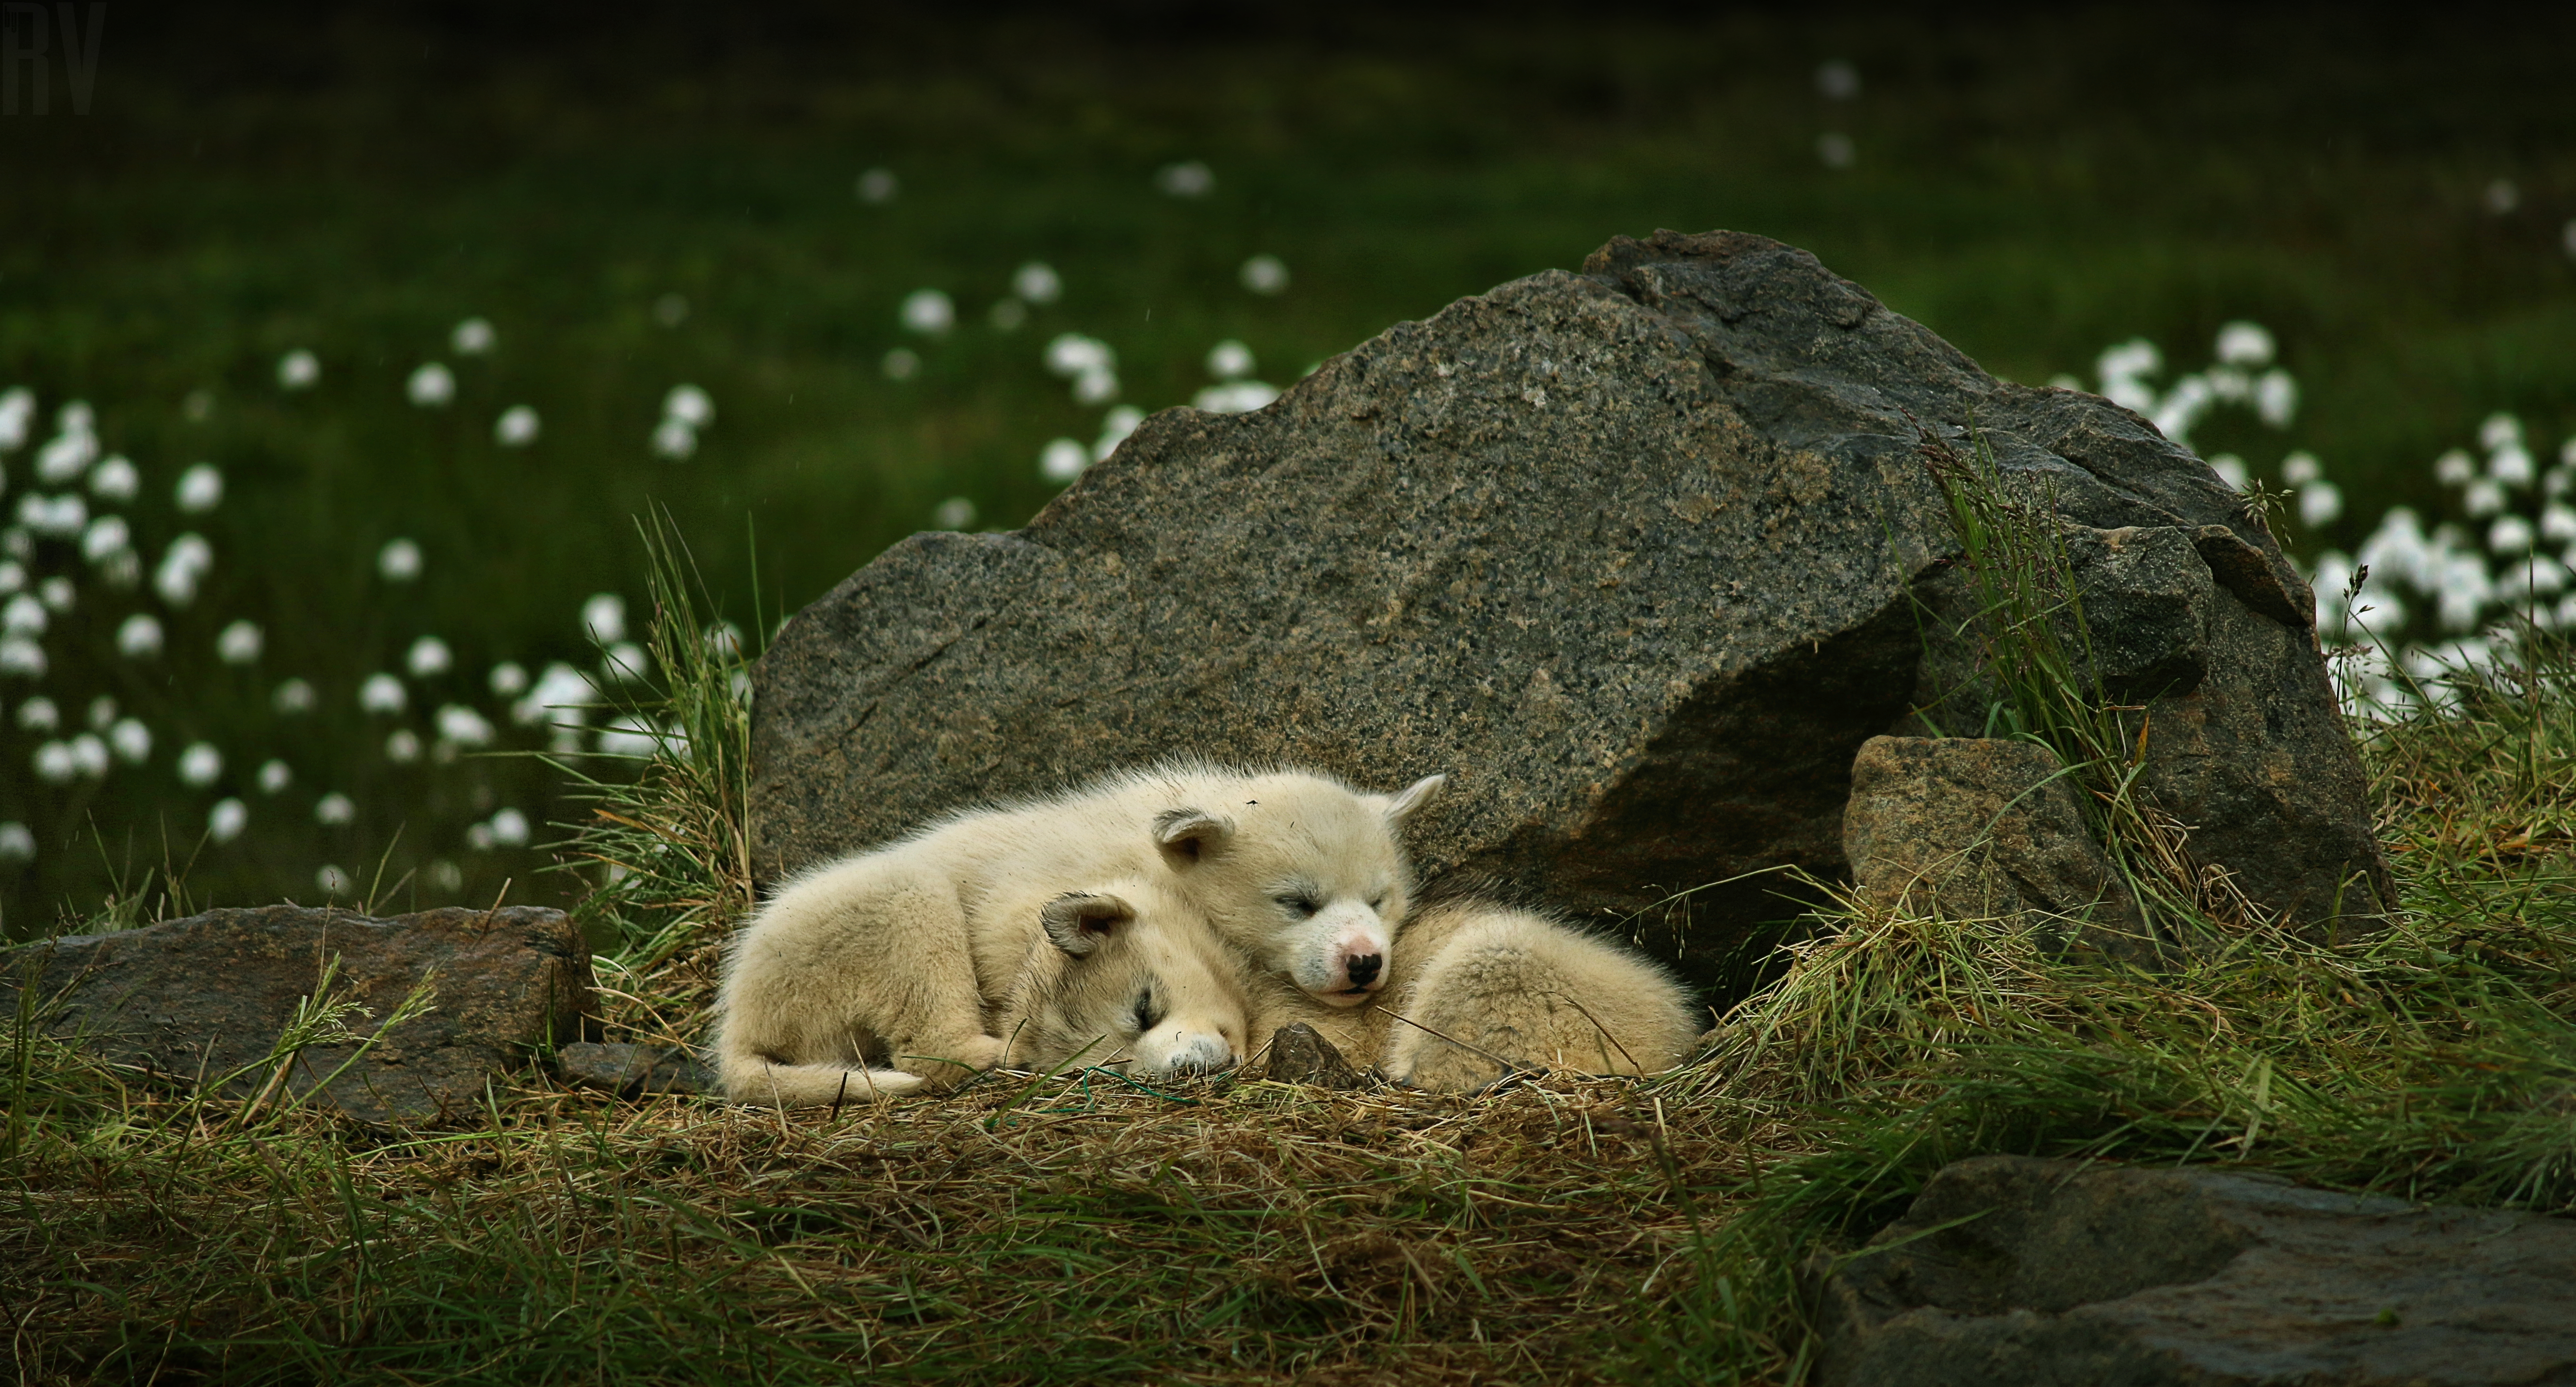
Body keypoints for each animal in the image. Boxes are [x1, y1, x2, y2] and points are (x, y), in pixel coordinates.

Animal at [716, 762, 1442, 1106]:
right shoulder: (1033, 892)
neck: (1159, 860)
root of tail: (737, 1022)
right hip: (882, 907)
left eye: (1380, 897)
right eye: (1297, 901)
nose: (1364, 961)